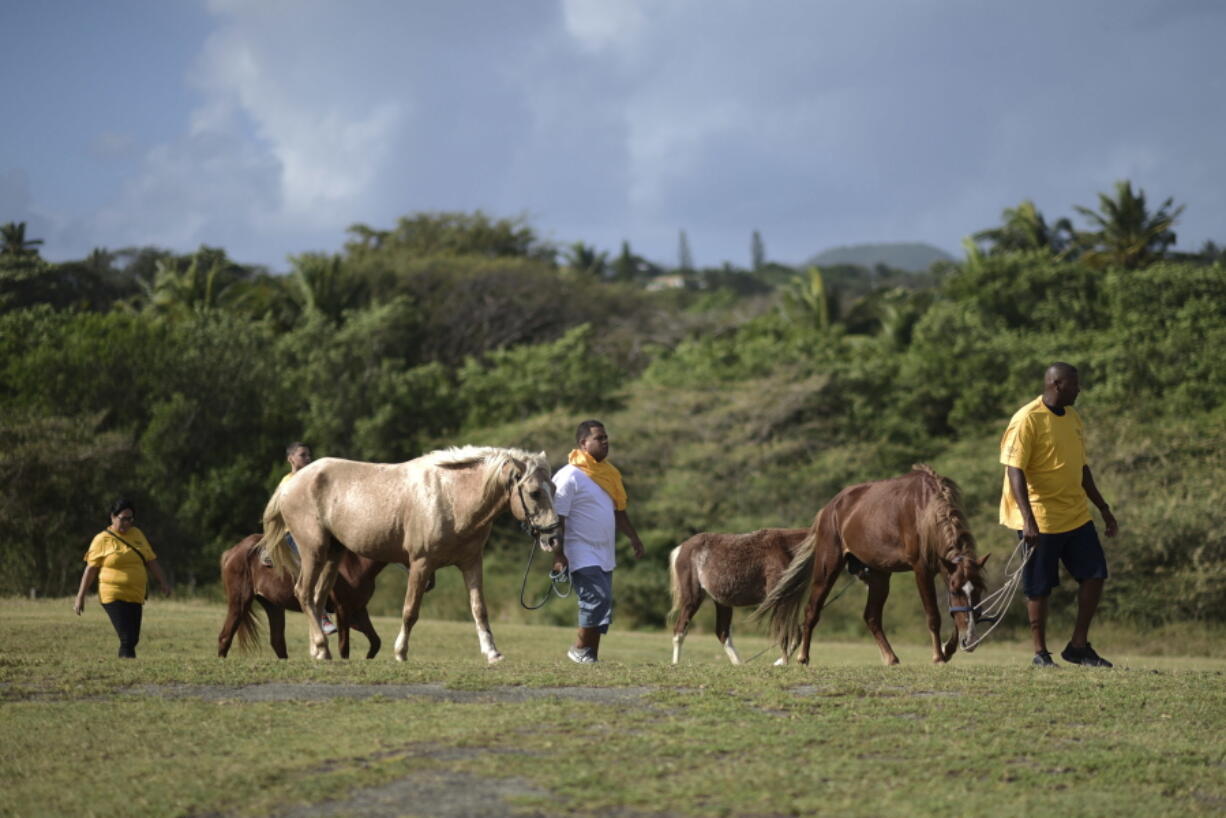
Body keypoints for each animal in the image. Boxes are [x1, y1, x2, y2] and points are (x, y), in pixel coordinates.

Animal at [218, 534, 389, 662]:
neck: (355, 562)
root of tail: (232, 552)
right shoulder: (343, 608)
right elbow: (344, 646)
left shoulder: (358, 610)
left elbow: (376, 641)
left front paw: (368, 658)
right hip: (239, 602)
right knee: (225, 637)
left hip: (273, 606)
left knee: (277, 641)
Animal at [263, 448, 563, 667]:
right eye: (534, 492)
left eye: (554, 489)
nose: (553, 538)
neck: (450, 497)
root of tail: (293, 482)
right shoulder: (421, 564)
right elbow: (410, 611)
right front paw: (401, 652)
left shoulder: (471, 563)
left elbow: (479, 609)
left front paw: (492, 653)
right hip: (313, 550)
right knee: (303, 593)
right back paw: (322, 648)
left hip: (332, 555)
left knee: (316, 598)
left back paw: (318, 650)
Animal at [671, 527, 814, 667]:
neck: (787, 548)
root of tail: (681, 548)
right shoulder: (780, 599)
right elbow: (787, 634)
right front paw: (782, 663)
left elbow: (795, 635)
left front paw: (780, 663)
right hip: (692, 599)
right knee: (680, 630)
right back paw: (675, 663)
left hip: (722, 602)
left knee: (722, 633)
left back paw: (739, 664)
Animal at [755, 466, 985, 667]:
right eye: (956, 591)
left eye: (979, 591)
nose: (971, 640)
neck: (927, 510)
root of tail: (829, 508)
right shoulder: (922, 570)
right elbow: (933, 616)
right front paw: (938, 656)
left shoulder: (944, 570)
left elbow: (953, 613)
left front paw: (949, 648)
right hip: (828, 566)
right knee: (812, 610)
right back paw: (803, 657)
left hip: (879, 575)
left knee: (871, 616)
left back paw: (890, 657)